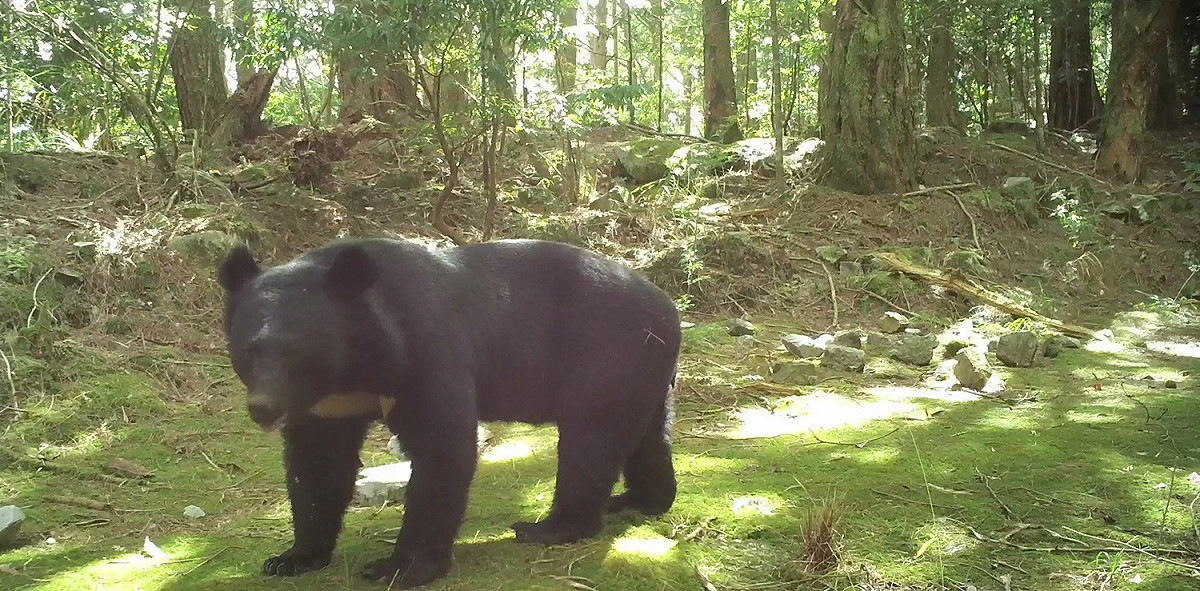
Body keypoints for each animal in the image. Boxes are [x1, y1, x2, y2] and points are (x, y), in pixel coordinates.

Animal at [216, 237, 681, 588]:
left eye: (296, 353)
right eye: (247, 351)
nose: (262, 409)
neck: (356, 365)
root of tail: (668, 308)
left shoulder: (424, 351)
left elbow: (442, 450)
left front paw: (398, 567)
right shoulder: (327, 404)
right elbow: (318, 465)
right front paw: (291, 558)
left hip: (605, 359)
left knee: (590, 445)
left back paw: (548, 527)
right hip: (642, 372)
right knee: (647, 438)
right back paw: (639, 500)